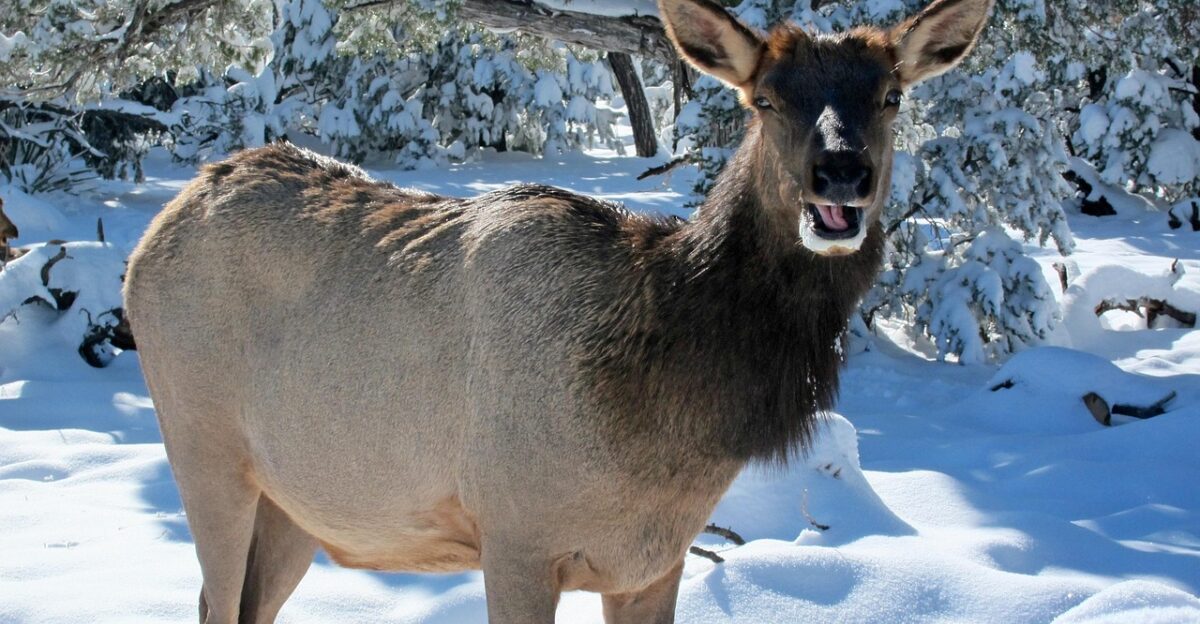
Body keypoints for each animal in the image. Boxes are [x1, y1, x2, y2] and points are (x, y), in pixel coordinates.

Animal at [123, 0, 992, 621]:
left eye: (891, 95)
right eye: (768, 99)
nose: (840, 172)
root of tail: (159, 227)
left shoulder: (652, 561)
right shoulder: (515, 537)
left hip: (301, 502)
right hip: (204, 449)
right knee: (212, 599)